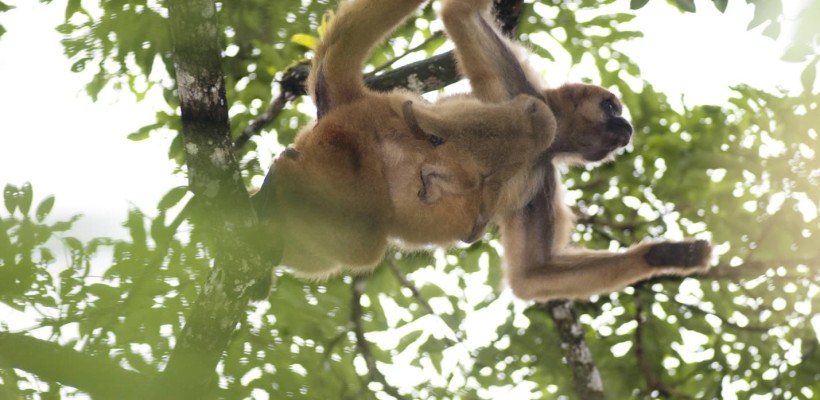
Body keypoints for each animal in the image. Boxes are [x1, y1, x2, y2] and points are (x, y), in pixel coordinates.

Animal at [438, 0, 716, 300]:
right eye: (610, 108)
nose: (627, 125)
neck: (547, 143)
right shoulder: (517, 89)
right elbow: (460, 15)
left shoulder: (542, 178)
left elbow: (531, 276)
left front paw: (664, 254)